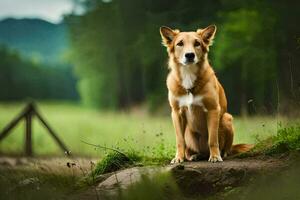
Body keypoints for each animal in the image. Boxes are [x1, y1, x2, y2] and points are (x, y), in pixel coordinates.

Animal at [159, 24, 253, 164]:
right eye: (180, 43)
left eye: (197, 43)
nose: (190, 55)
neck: (188, 77)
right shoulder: (176, 113)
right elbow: (180, 140)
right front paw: (178, 158)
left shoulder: (213, 109)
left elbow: (212, 139)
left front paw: (215, 156)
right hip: (189, 132)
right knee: (190, 148)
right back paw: (193, 155)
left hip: (227, 118)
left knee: (226, 148)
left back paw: (221, 154)